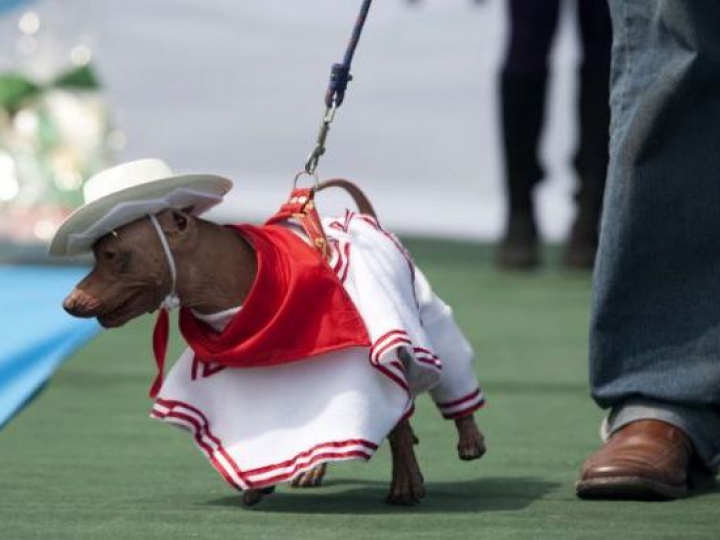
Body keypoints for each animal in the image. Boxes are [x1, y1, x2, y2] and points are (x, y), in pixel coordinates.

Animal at [62, 181, 486, 506]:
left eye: (112, 255)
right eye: (96, 254)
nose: (68, 303)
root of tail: (362, 218)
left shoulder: (388, 353)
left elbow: (399, 427)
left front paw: (407, 482)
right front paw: (258, 484)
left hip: (427, 317)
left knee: (450, 380)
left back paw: (469, 436)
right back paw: (314, 467)